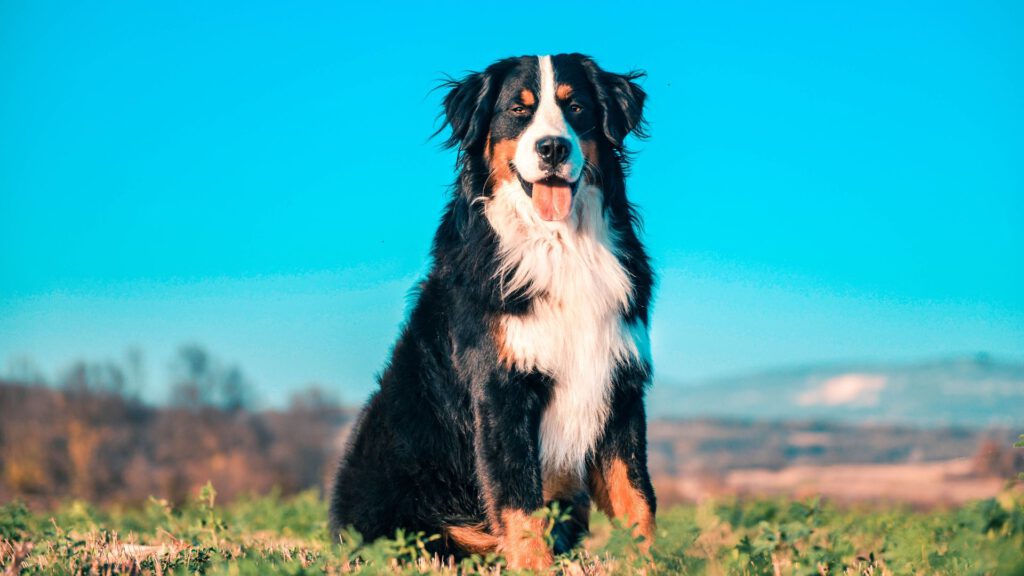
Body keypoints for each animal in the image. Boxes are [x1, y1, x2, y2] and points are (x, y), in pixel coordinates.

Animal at [327, 53, 655, 569]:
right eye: (518, 110)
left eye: (576, 107)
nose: (552, 148)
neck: (560, 247)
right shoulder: (500, 391)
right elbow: (519, 504)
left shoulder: (620, 387)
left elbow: (637, 500)